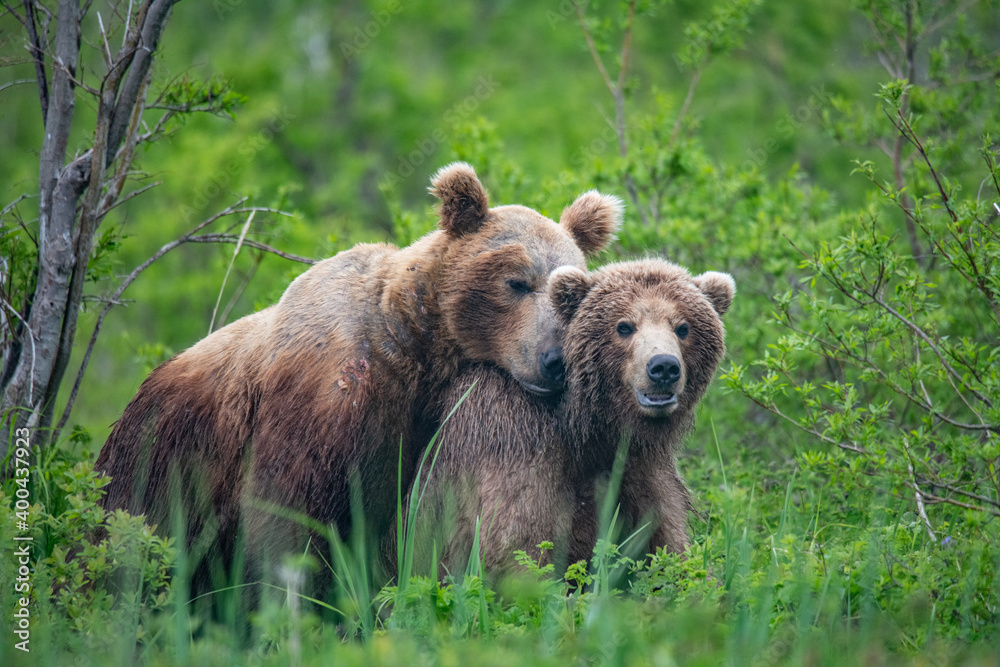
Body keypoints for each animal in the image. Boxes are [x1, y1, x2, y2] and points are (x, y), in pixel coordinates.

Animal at [93, 162, 624, 597]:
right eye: (517, 282)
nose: (555, 361)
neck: (416, 349)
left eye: (570, 290)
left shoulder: (412, 433)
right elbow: (288, 514)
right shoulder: (329, 396)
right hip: (159, 461)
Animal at [408, 258, 734, 575]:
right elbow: (516, 548)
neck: (583, 428)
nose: (663, 367)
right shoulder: (512, 440)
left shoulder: (642, 469)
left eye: (683, 327)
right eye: (624, 326)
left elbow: (667, 552)